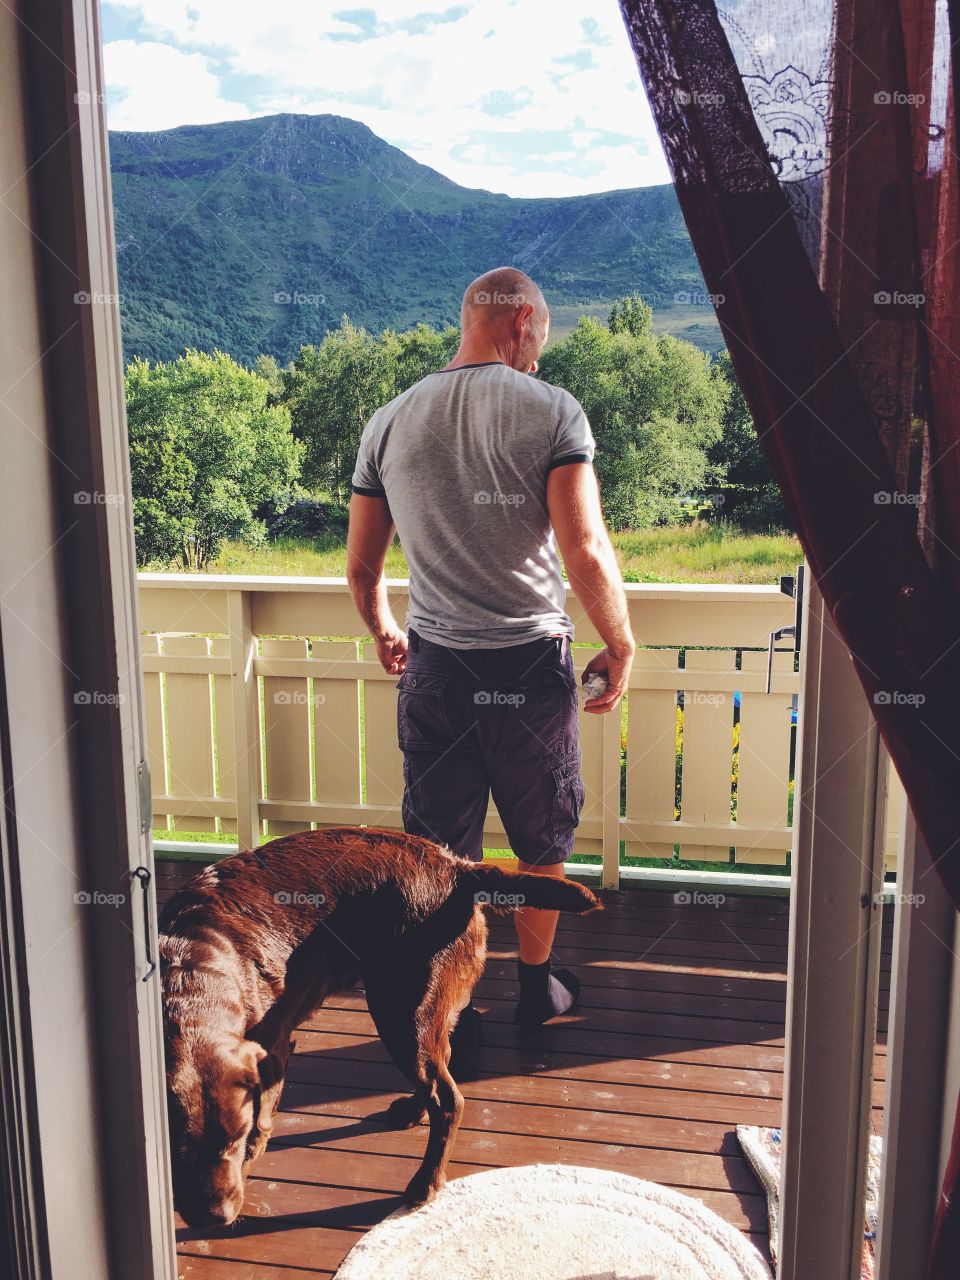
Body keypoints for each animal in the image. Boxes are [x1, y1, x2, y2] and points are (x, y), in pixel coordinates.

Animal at [160, 824, 599, 1223]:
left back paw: (425, 1183)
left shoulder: (274, 1046)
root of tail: (456, 868)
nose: (215, 1217)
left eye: (234, 1137)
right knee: (438, 1070)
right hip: (418, 1013)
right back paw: (412, 1110)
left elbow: (261, 1126)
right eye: (176, 1151)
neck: (189, 972)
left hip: (398, 1008)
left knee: (448, 1099)